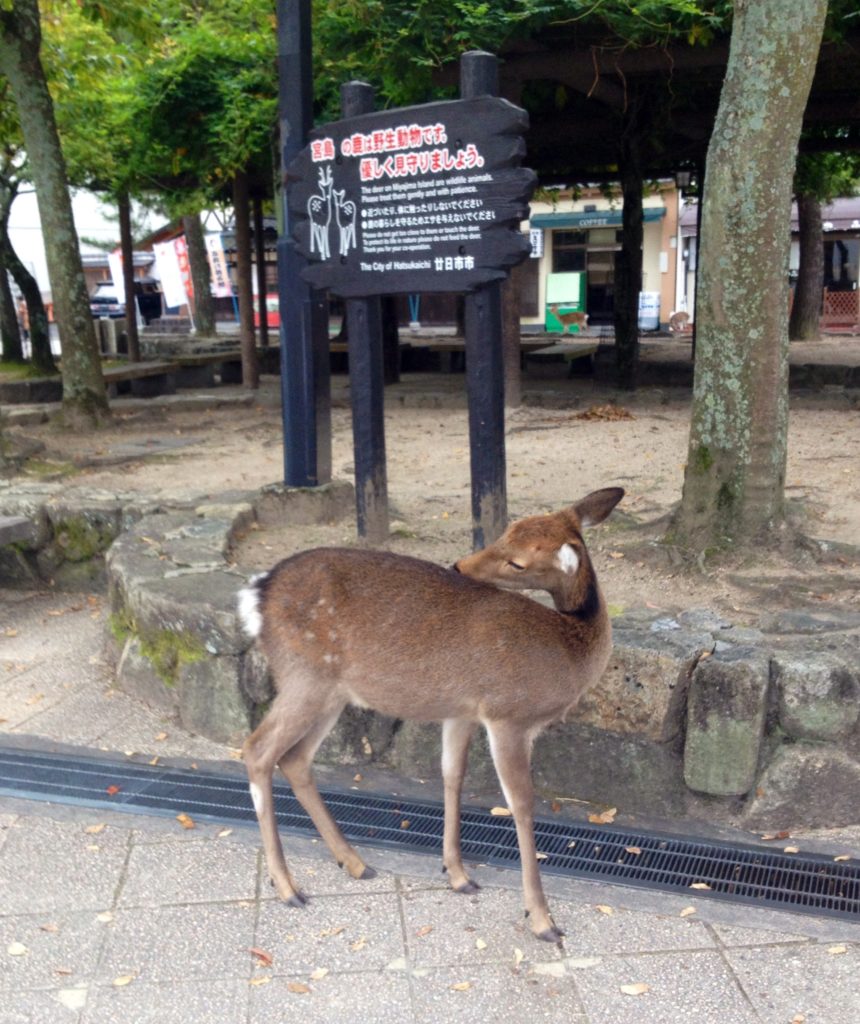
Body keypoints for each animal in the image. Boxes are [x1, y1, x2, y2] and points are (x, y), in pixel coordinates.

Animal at [236, 483, 626, 937]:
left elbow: (452, 777)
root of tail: (256, 594)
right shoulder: (507, 714)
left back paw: (354, 862)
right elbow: (522, 805)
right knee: (258, 749)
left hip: (331, 692)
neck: (571, 650)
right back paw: (287, 887)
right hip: (305, 678)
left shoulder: (463, 711)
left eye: (517, 557)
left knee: (295, 758)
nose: (460, 565)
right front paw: (542, 918)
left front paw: (457, 874)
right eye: (506, 534)